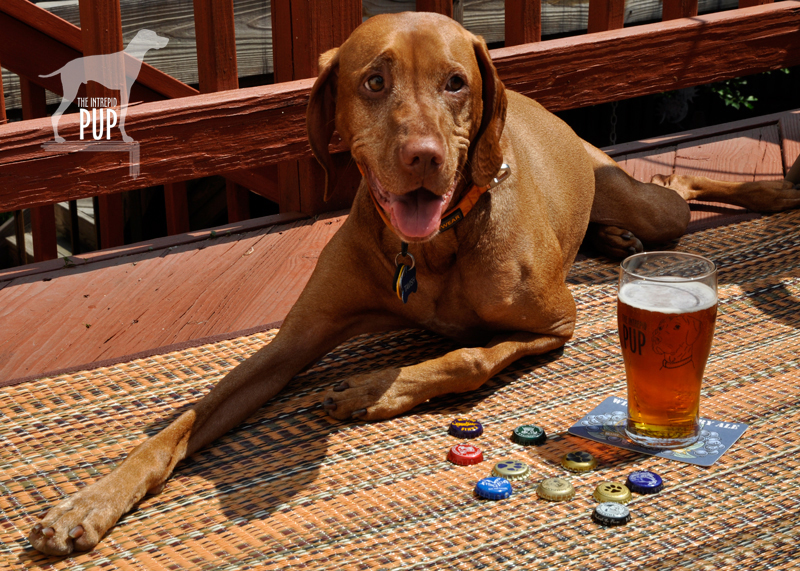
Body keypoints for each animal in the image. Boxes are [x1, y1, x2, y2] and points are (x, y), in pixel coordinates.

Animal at [28, 10, 796, 556]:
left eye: (455, 82)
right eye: (374, 80)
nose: (423, 155)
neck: (429, 249)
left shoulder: (556, 324)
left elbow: (469, 355)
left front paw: (376, 387)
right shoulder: (291, 343)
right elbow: (181, 424)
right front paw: (84, 505)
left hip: (651, 205)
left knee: (679, 186)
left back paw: (766, 193)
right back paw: (614, 241)